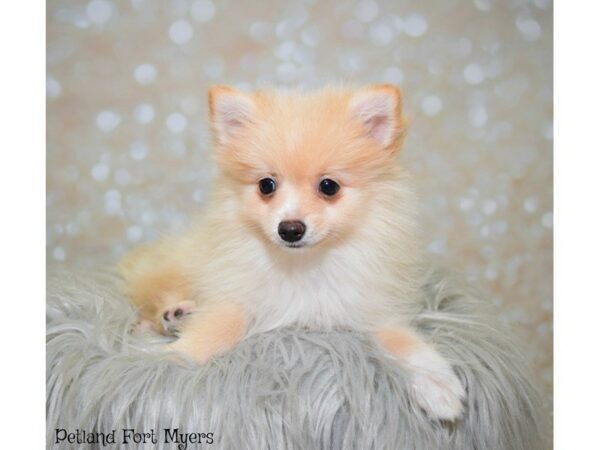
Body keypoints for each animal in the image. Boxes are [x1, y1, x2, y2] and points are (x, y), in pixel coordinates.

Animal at [119, 85, 466, 422]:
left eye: (329, 186)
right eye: (266, 185)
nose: (289, 229)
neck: (304, 263)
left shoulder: (369, 308)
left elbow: (405, 342)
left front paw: (439, 386)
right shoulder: (238, 294)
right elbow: (219, 326)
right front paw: (172, 358)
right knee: (152, 292)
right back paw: (170, 316)